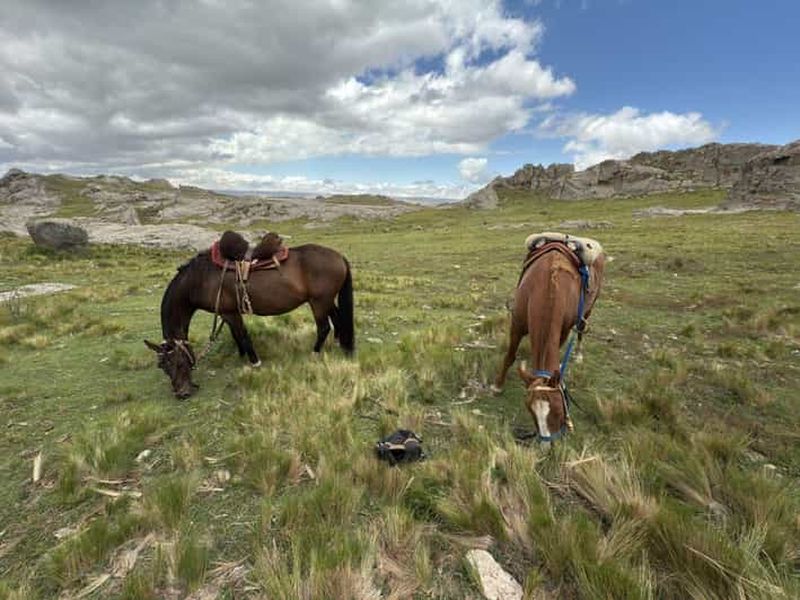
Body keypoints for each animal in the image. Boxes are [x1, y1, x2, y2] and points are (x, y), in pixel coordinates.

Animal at [145, 237, 354, 398]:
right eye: (163, 367)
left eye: (178, 362)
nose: (182, 394)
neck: (201, 278)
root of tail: (339, 256)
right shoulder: (228, 313)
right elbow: (236, 335)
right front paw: (241, 355)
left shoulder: (230, 313)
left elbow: (243, 335)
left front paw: (254, 362)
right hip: (326, 301)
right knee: (337, 319)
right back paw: (340, 344)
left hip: (318, 302)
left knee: (324, 327)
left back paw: (315, 353)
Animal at [493, 237, 605, 442]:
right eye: (530, 411)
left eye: (559, 410)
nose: (547, 444)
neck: (548, 286)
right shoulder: (518, 323)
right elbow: (509, 356)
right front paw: (497, 386)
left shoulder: (564, 330)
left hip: (588, 310)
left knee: (581, 331)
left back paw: (578, 354)